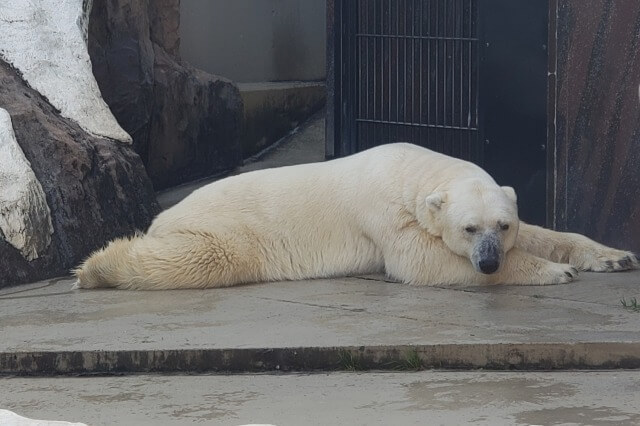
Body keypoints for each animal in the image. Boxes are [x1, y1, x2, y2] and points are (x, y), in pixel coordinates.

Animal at [74, 143, 636, 290]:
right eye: (468, 228)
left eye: (502, 225)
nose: (490, 262)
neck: (412, 171)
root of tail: (165, 216)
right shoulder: (383, 213)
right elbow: (418, 262)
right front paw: (554, 272)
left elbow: (546, 233)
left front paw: (616, 256)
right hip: (231, 230)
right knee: (201, 258)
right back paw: (95, 268)